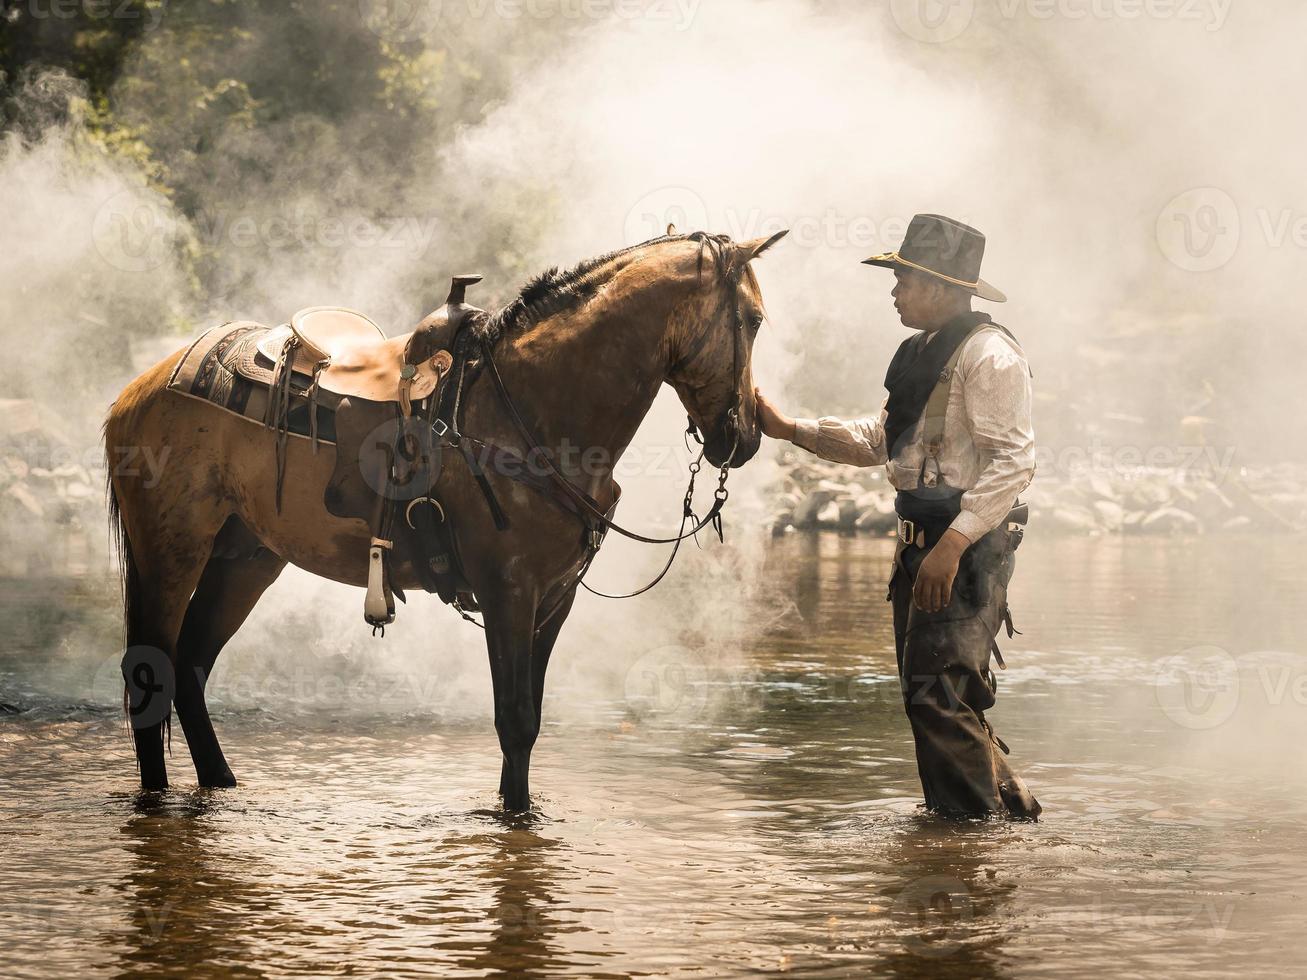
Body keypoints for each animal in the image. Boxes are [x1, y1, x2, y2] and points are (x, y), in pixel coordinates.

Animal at [104, 232, 784, 815]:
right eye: (752, 319)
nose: (744, 439)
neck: (530, 411)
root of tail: (141, 388)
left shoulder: (554, 599)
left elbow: (531, 717)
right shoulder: (508, 591)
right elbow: (514, 720)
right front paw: (513, 817)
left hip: (245, 558)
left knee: (192, 666)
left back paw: (222, 784)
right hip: (170, 552)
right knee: (151, 670)